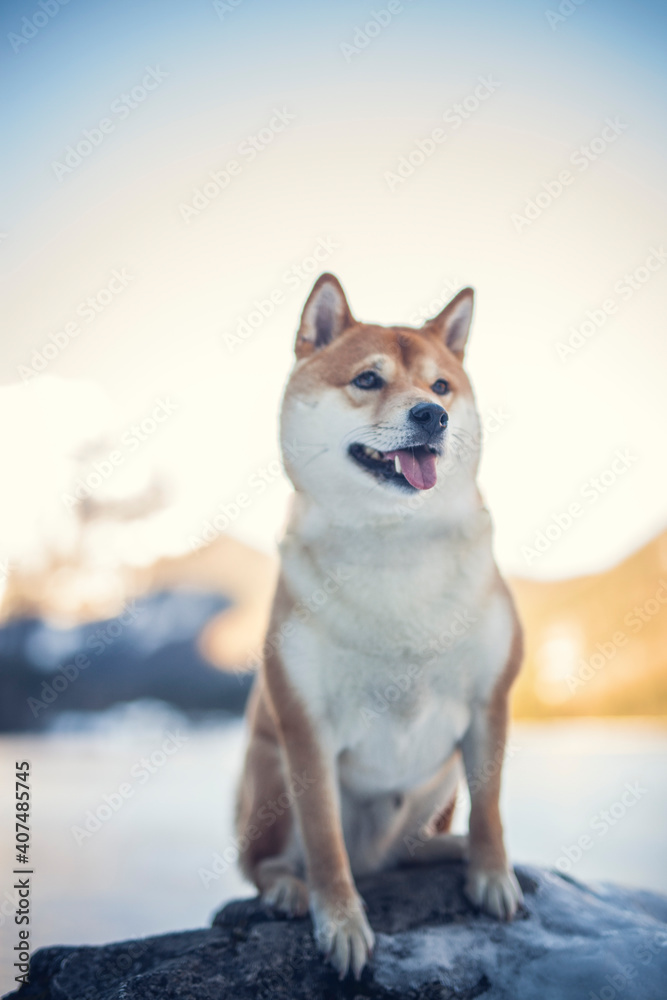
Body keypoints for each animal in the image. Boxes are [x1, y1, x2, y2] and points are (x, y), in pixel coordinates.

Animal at [237, 274, 524, 976]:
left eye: (441, 387)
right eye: (368, 379)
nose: (431, 416)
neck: (395, 545)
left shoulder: (490, 702)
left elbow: (490, 808)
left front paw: (491, 874)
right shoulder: (306, 728)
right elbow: (324, 843)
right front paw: (339, 920)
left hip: (433, 784)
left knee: (406, 850)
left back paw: (444, 852)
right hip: (267, 776)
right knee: (262, 863)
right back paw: (287, 888)